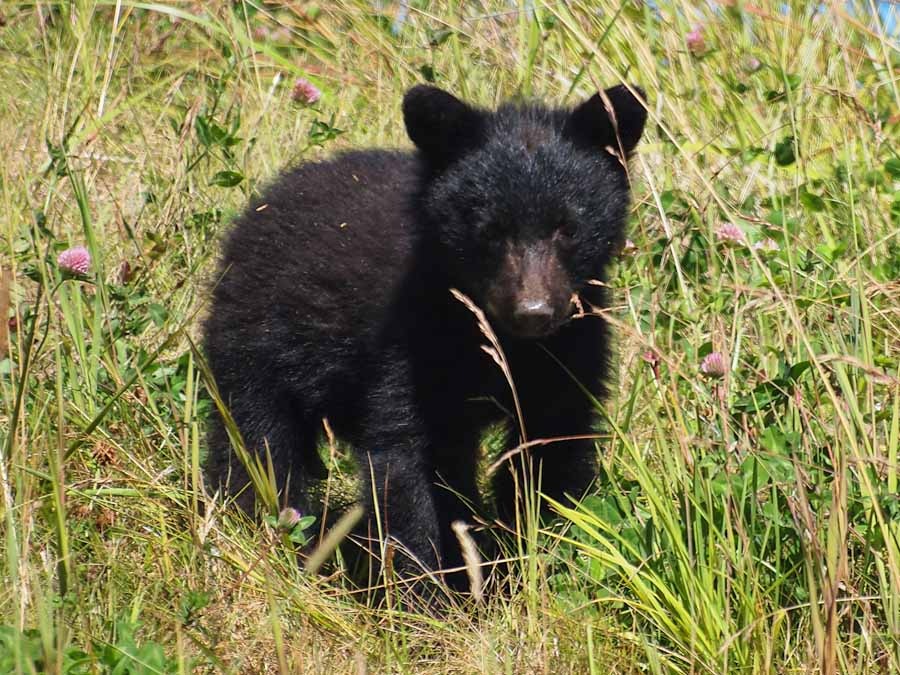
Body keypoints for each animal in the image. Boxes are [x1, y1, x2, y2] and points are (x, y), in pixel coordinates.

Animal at [202, 83, 648, 596]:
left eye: (568, 227)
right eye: (490, 230)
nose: (533, 312)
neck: (499, 342)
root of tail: (261, 204)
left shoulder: (572, 346)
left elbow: (550, 450)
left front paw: (530, 560)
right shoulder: (412, 346)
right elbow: (407, 463)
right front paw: (423, 593)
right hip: (255, 342)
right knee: (258, 443)